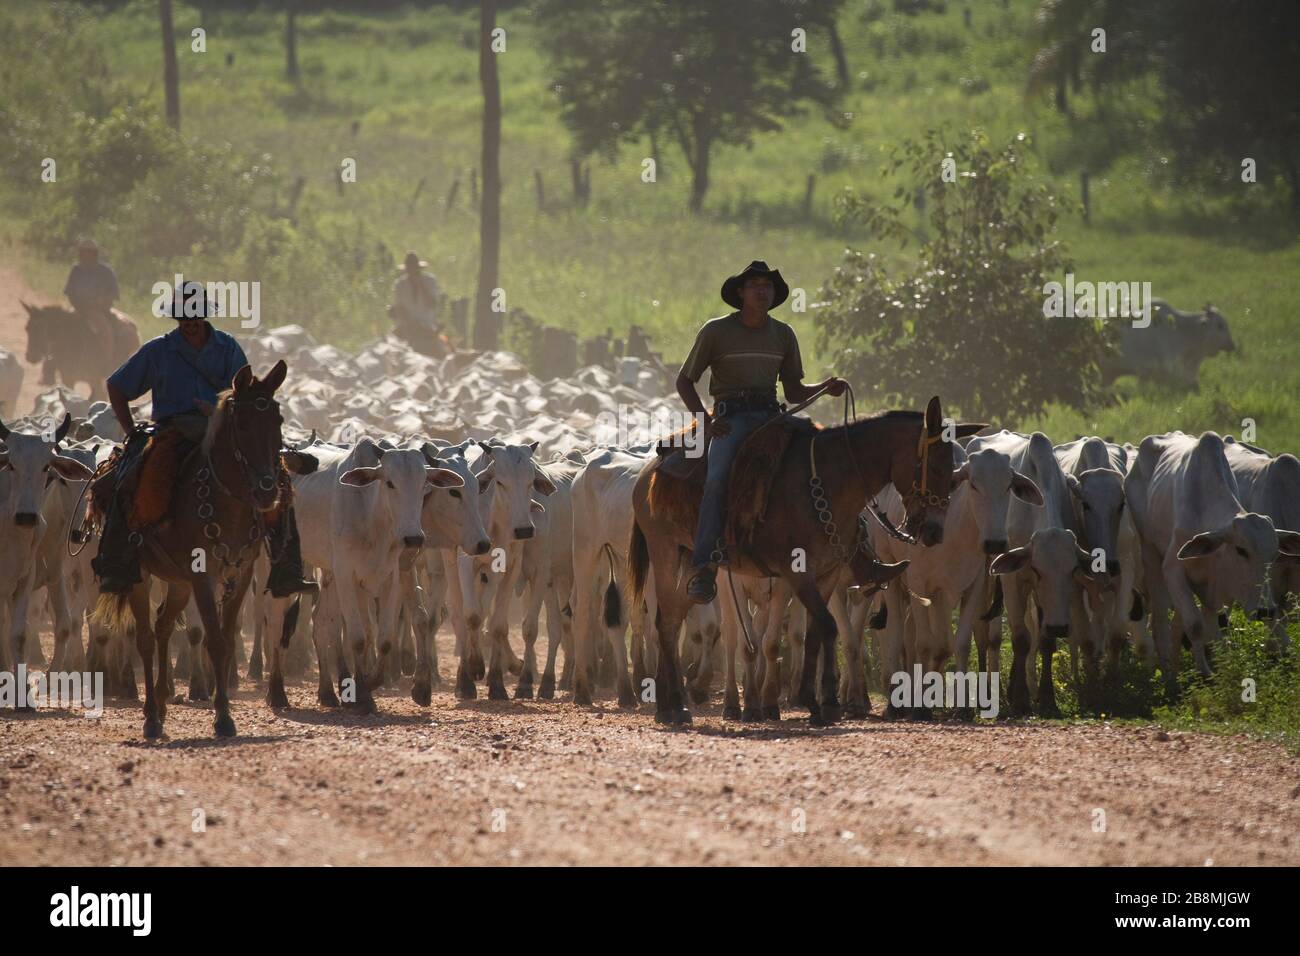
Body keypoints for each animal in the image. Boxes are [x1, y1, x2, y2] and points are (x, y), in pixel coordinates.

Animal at [92, 358, 291, 738]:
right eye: (242, 423)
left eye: (278, 420)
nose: (267, 489)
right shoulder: (203, 575)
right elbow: (213, 638)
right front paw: (223, 717)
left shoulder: (241, 574)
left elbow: (226, 639)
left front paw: (220, 708)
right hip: (140, 574)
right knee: (145, 636)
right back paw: (151, 717)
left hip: (178, 582)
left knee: (163, 625)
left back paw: (162, 704)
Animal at [629, 395, 982, 723]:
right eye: (936, 467)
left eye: (954, 474)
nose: (934, 530)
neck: (829, 480)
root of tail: (648, 470)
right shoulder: (796, 572)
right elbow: (822, 626)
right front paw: (816, 701)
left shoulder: (826, 574)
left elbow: (817, 632)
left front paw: (820, 702)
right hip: (665, 552)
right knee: (668, 622)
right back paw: (677, 708)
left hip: (687, 558)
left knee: (671, 619)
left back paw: (666, 706)